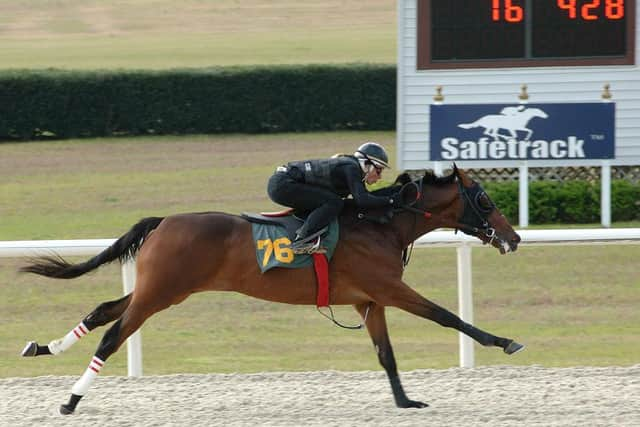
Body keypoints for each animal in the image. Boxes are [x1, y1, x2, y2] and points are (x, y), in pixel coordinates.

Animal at [18, 166, 524, 414]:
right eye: (485, 200)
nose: (514, 237)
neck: (380, 224)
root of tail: (164, 221)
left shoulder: (369, 299)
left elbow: (387, 354)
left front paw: (404, 401)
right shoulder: (390, 289)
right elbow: (447, 316)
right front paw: (504, 341)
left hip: (162, 290)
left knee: (103, 310)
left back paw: (43, 347)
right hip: (159, 293)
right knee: (112, 334)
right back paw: (71, 400)